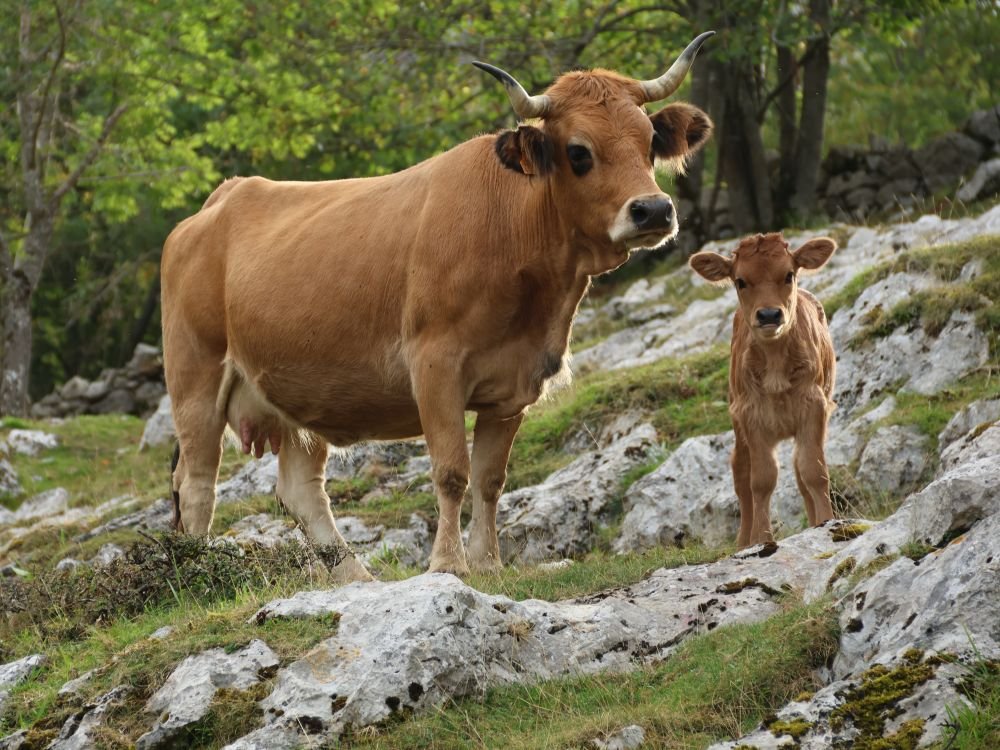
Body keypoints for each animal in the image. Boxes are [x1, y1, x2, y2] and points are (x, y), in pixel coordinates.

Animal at [162, 33, 714, 582]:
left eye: (649, 141)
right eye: (578, 151)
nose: (653, 210)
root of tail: (224, 197)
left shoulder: (513, 384)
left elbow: (490, 479)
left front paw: (488, 563)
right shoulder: (435, 366)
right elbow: (451, 472)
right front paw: (448, 563)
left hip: (297, 394)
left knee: (301, 491)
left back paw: (357, 580)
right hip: (196, 382)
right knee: (197, 483)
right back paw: (197, 578)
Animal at [689, 232, 837, 548]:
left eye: (789, 274)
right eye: (740, 280)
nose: (769, 315)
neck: (776, 363)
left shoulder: (814, 407)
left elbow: (814, 471)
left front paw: (826, 522)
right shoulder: (751, 416)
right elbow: (761, 481)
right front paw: (761, 538)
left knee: (799, 471)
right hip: (738, 426)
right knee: (742, 477)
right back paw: (744, 541)